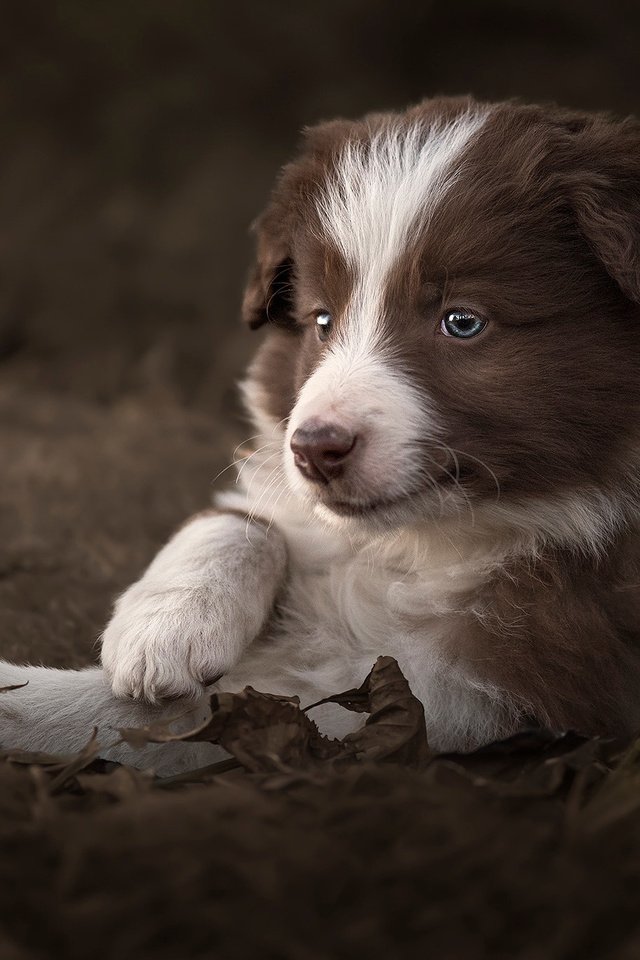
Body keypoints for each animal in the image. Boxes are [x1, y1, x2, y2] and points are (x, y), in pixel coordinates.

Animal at [1, 97, 640, 772]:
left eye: (463, 322)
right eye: (323, 320)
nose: (314, 450)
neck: (415, 546)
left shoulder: (471, 682)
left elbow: (218, 714)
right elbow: (242, 520)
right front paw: (164, 626)